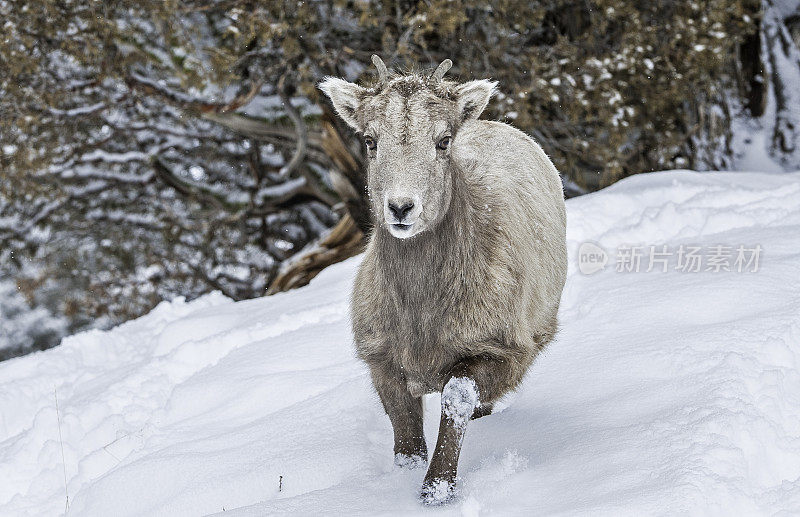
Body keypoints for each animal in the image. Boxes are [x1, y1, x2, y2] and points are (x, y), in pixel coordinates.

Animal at [318, 57, 568, 504]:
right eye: (369, 141)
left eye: (443, 140)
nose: (402, 207)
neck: (422, 317)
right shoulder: (383, 361)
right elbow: (403, 423)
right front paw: (408, 477)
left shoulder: (499, 350)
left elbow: (458, 398)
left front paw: (436, 490)